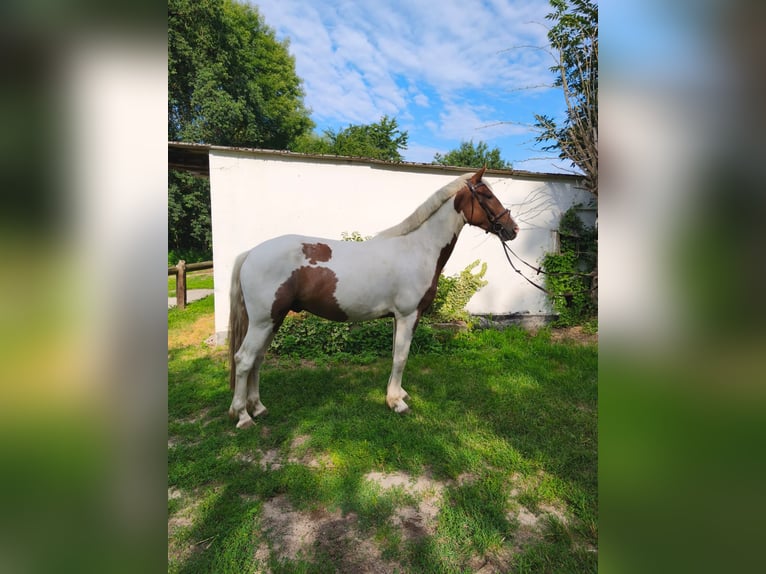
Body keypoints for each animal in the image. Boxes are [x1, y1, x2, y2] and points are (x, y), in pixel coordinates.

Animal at [227, 167, 519, 429]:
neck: (418, 248)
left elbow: (395, 356)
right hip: (263, 322)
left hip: (274, 320)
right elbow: (401, 357)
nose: (512, 229)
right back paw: (243, 416)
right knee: (244, 360)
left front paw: (396, 395)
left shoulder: (397, 317)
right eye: (487, 195)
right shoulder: (408, 315)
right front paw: (397, 404)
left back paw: (258, 408)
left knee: (257, 360)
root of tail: (251, 253)